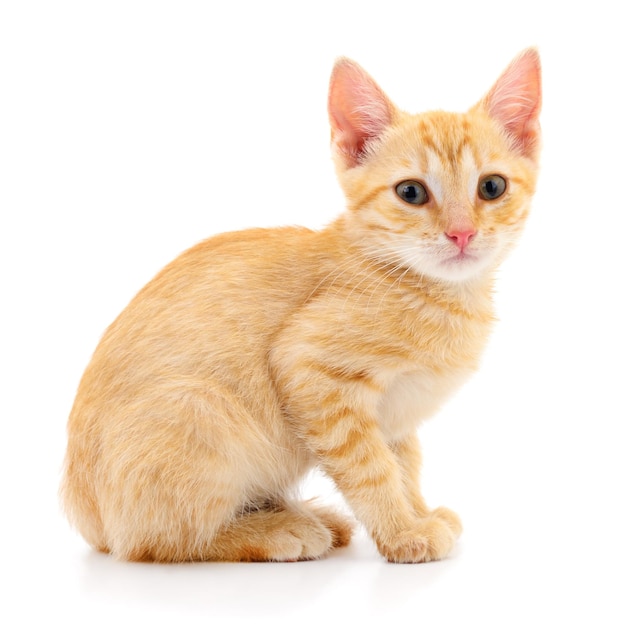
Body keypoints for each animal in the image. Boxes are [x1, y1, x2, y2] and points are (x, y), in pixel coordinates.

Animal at [60, 50, 540, 560]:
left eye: (492, 187)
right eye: (410, 192)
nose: (461, 233)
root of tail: (83, 511)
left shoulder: (393, 415)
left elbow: (403, 461)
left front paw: (418, 512)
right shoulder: (307, 365)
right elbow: (371, 466)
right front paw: (402, 532)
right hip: (199, 406)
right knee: (155, 540)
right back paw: (278, 530)